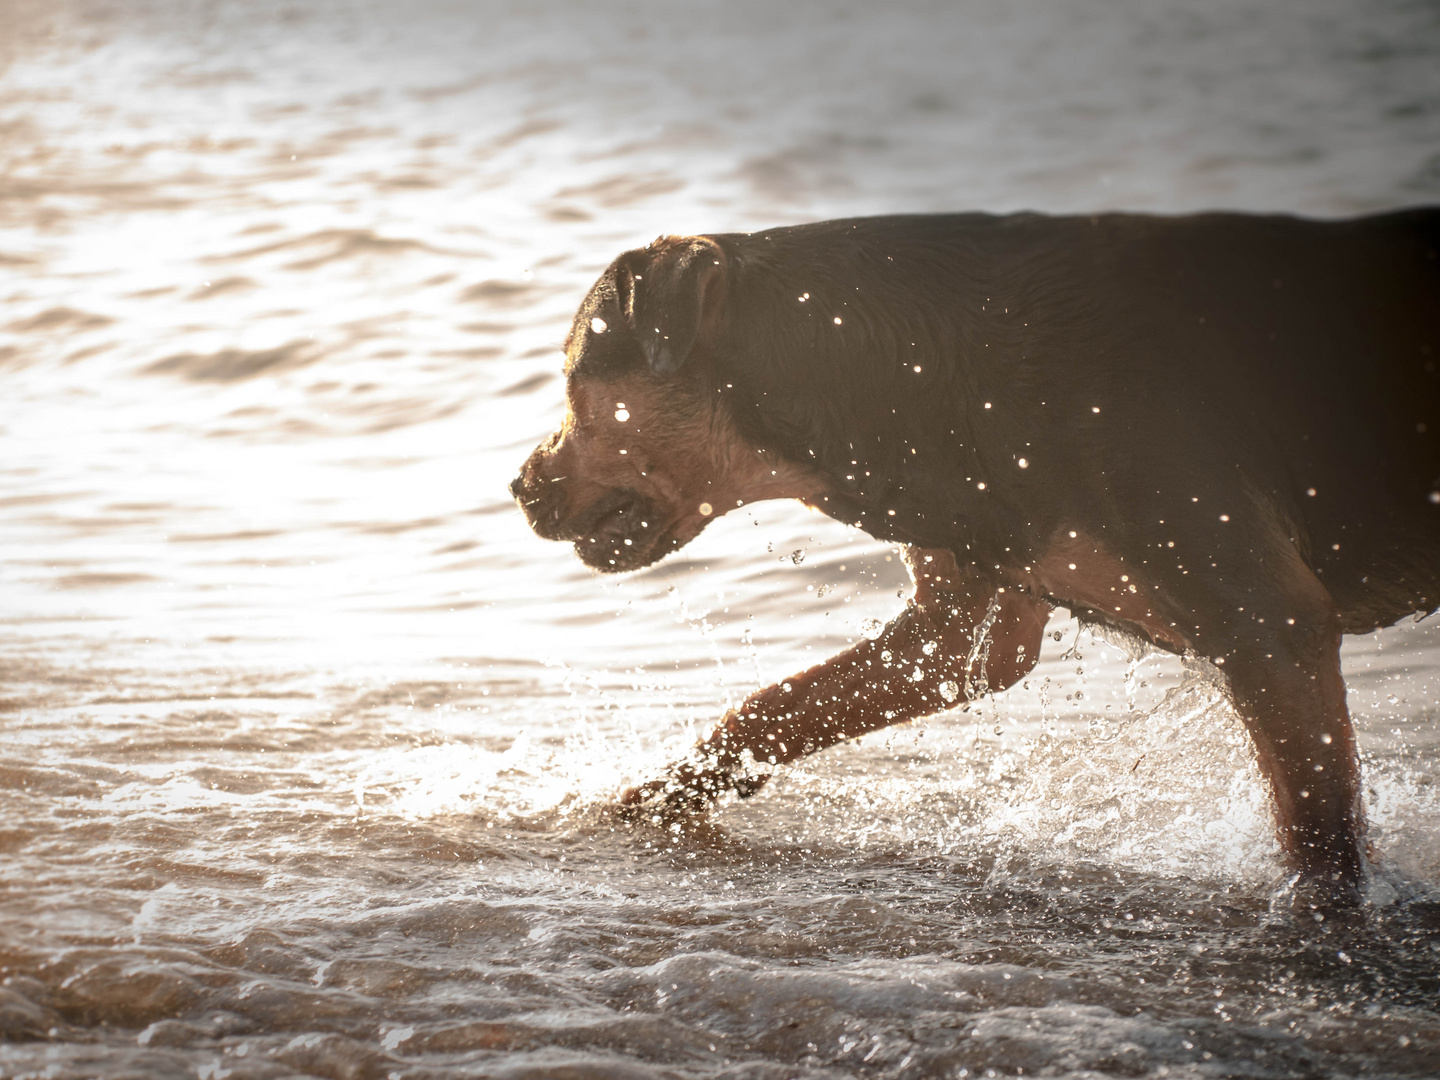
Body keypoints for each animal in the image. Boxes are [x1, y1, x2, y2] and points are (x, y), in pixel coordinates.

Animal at [509, 207, 1440, 898]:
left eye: (571, 378)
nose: (518, 486)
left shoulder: (1267, 626)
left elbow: (1319, 845)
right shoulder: (962, 622)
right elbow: (767, 708)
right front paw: (646, 804)